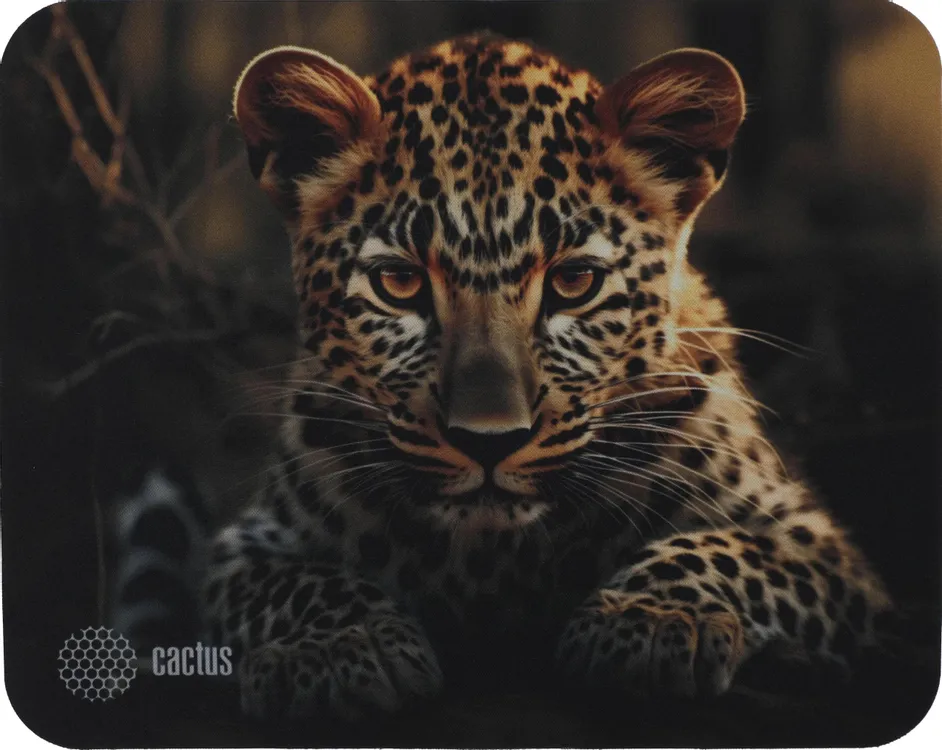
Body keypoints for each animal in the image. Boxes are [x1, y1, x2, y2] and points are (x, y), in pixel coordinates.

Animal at [201, 34, 894, 719]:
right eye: (398, 284)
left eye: (574, 282)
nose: (488, 441)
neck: (493, 560)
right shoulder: (247, 545)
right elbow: (295, 582)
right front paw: (340, 644)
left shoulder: (813, 542)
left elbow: (719, 551)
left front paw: (650, 619)